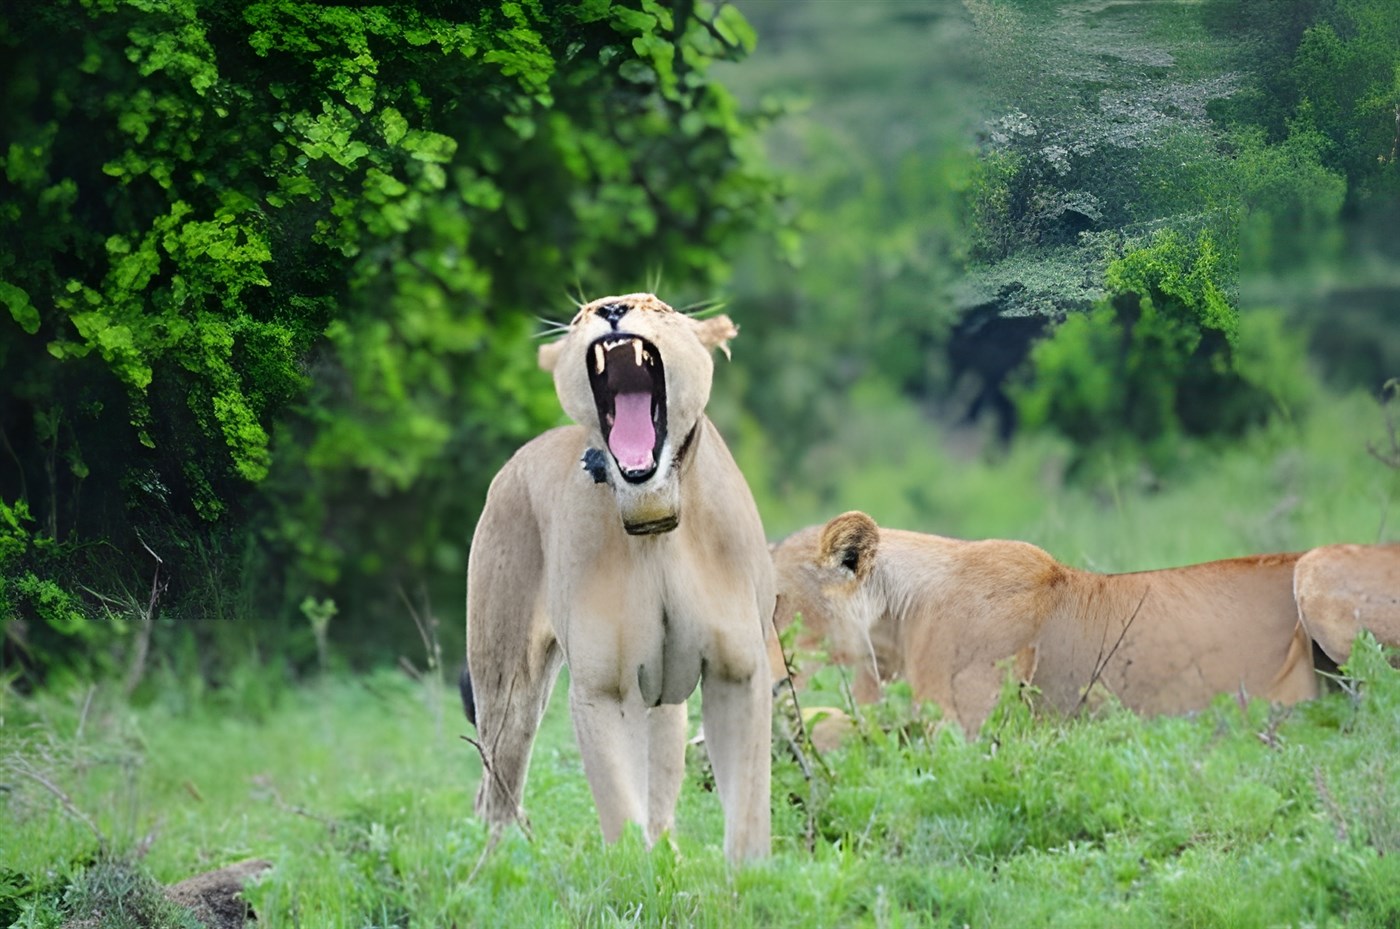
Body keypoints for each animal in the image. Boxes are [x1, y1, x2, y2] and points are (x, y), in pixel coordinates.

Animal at [462, 293, 774, 861]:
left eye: (660, 307)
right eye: (582, 313)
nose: (612, 308)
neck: (654, 520)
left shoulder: (737, 671)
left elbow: (747, 810)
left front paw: (747, 877)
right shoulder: (603, 687)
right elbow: (621, 816)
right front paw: (639, 877)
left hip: (665, 701)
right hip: (508, 689)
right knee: (496, 792)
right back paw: (493, 869)